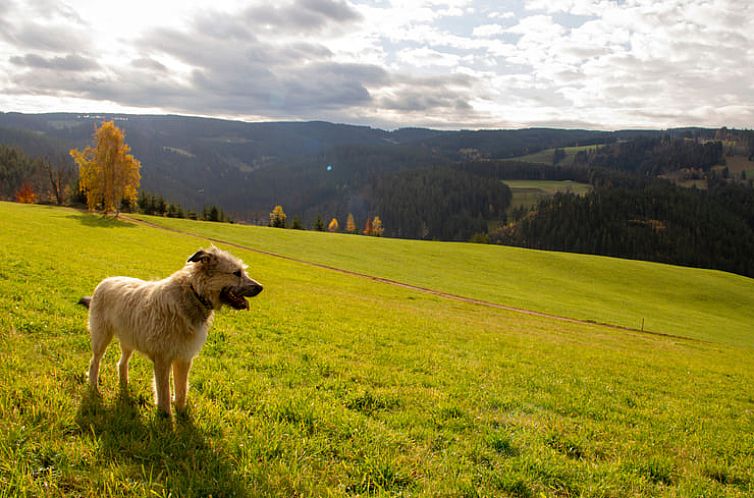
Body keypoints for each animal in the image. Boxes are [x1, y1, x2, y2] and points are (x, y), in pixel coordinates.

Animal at [79, 247, 262, 414]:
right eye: (236, 273)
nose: (261, 287)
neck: (194, 293)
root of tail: (106, 280)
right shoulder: (163, 358)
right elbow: (164, 391)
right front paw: (165, 416)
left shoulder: (184, 357)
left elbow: (182, 388)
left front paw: (181, 412)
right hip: (102, 336)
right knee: (95, 361)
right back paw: (94, 387)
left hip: (128, 339)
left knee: (122, 362)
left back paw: (124, 385)